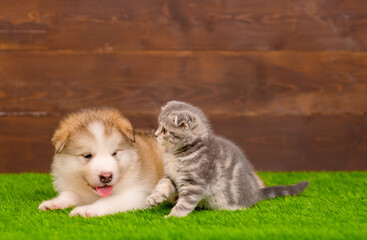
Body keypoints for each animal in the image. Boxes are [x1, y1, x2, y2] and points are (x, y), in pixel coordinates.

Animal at [145, 101, 310, 218]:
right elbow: (162, 184)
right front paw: (154, 197)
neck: (177, 154)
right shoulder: (172, 176)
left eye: (164, 130)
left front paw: (173, 216)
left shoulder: (195, 182)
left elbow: (185, 203)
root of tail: (256, 193)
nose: (155, 134)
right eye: (158, 126)